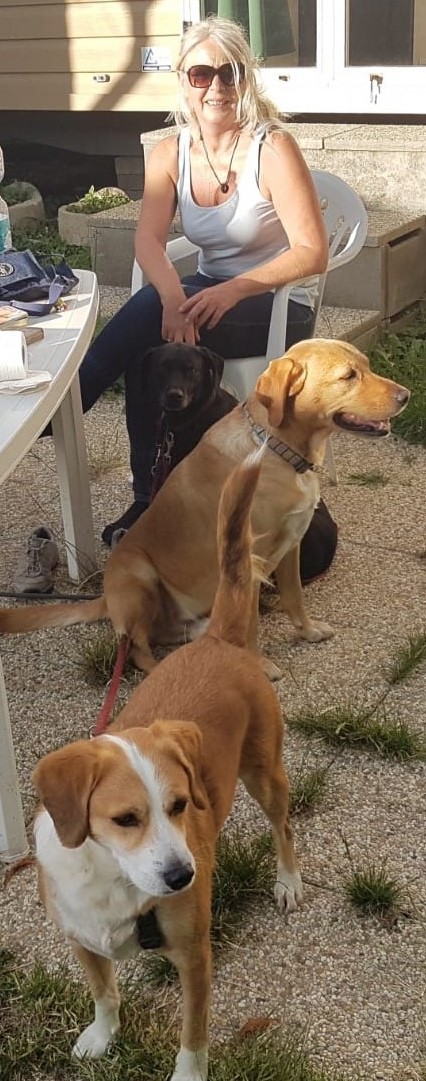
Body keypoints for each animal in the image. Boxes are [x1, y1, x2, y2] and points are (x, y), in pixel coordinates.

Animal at [0, 339, 410, 679]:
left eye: (366, 366)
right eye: (349, 376)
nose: (406, 395)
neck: (279, 449)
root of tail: (105, 597)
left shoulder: (291, 545)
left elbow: (295, 597)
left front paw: (307, 632)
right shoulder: (247, 561)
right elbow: (251, 625)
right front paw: (258, 665)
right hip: (139, 577)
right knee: (137, 648)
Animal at [33, 454, 302, 1081]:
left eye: (179, 805)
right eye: (125, 819)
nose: (184, 877)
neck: (114, 879)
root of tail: (220, 638)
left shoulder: (195, 958)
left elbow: (193, 1037)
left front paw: (186, 1073)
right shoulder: (81, 941)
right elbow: (104, 994)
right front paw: (101, 1036)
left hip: (266, 773)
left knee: (283, 826)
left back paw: (288, 881)